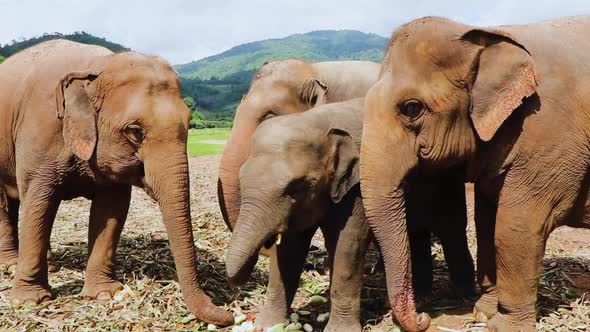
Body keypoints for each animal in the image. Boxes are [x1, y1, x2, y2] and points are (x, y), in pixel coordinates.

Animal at [0, 40, 235, 326]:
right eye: (134, 131)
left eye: (190, 123)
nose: (229, 314)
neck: (96, 67)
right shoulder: (40, 131)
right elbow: (39, 201)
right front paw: (30, 301)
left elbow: (111, 210)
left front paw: (104, 295)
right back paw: (11, 264)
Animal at [225, 98, 476, 330]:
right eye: (241, 178)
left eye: (296, 187)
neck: (317, 121)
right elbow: (289, 249)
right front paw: (268, 325)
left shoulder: (359, 186)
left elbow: (348, 244)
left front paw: (339, 330)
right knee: (415, 233)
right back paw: (421, 297)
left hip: (448, 178)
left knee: (451, 228)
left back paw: (461, 297)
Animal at [358, 16, 590, 332]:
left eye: (412, 108)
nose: (423, 318)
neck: (489, 35)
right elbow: (486, 219)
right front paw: (484, 312)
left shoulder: (551, 134)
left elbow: (516, 225)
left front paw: (503, 325)